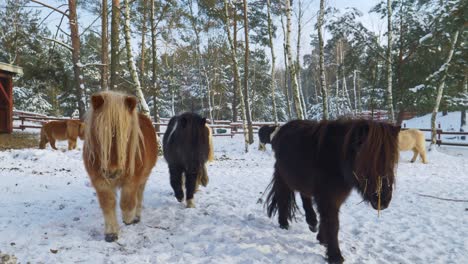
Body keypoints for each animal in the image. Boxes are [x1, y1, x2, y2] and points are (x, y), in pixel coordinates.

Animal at [83, 90, 158, 241]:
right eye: (99, 133)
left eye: (126, 135)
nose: (112, 172)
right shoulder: (100, 182)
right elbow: (108, 204)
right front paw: (111, 233)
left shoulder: (132, 180)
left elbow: (127, 201)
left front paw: (129, 218)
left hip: (143, 177)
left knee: (139, 195)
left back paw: (136, 216)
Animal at [266, 119, 400, 262]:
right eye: (367, 158)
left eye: (392, 158)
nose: (384, 200)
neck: (335, 160)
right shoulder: (328, 198)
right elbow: (333, 224)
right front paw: (335, 256)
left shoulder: (331, 198)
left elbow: (326, 219)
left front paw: (322, 239)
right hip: (283, 178)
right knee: (283, 198)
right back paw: (284, 224)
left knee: (305, 197)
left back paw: (312, 223)